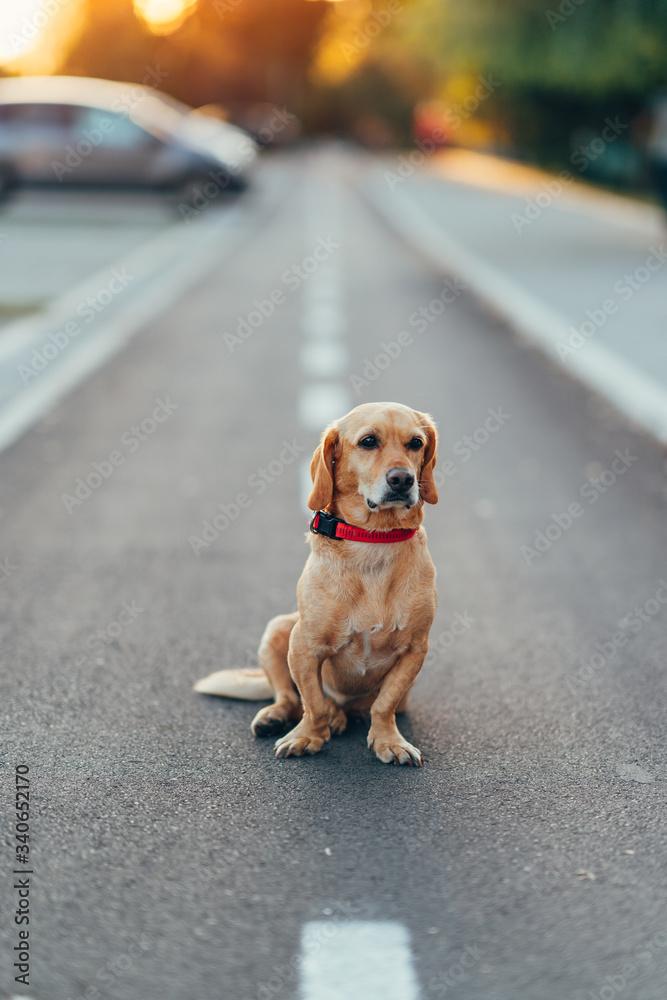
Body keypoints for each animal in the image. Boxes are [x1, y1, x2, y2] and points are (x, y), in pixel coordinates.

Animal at [194, 398, 438, 764]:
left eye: (416, 443)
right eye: (368, 441)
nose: (403, 479)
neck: (374, 541)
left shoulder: (415, 649)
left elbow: (385, 704)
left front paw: (388, 740)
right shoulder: (303, 646)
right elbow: (312, 702)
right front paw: (308, 736)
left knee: (358, 706)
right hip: (278, 629)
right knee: (289, 697)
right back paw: (280, 717)